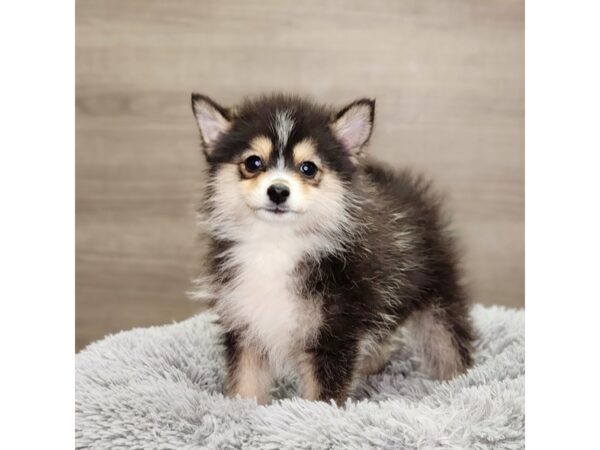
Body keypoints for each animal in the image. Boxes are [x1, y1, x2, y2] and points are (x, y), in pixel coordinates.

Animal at [190, 93, 472, 402]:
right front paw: (239, 409)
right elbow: (245, 385)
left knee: (447, 340)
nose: (278, 191)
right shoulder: (245, 323)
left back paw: (457, 378)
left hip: (437, 291)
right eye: (253, 163)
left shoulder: (335, 332)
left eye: (308, 167)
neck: (277, 244)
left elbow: (323, 396)